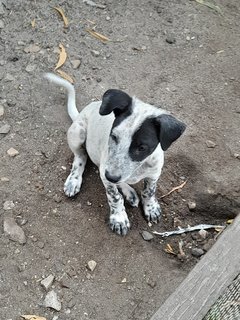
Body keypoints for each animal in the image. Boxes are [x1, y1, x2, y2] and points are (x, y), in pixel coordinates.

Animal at [44, 74, 186, 236]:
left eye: (142, 147)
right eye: (113, 136)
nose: (111, 176)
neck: (138, 168)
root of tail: (80, 113)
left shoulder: (154, 173)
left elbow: (149, 191)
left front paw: (150, 207)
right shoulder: (105, 174)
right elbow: (115, 197)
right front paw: (119, 218)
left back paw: (129, 193)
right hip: (77, 133)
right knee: (80, 158)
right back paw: (74, 180)